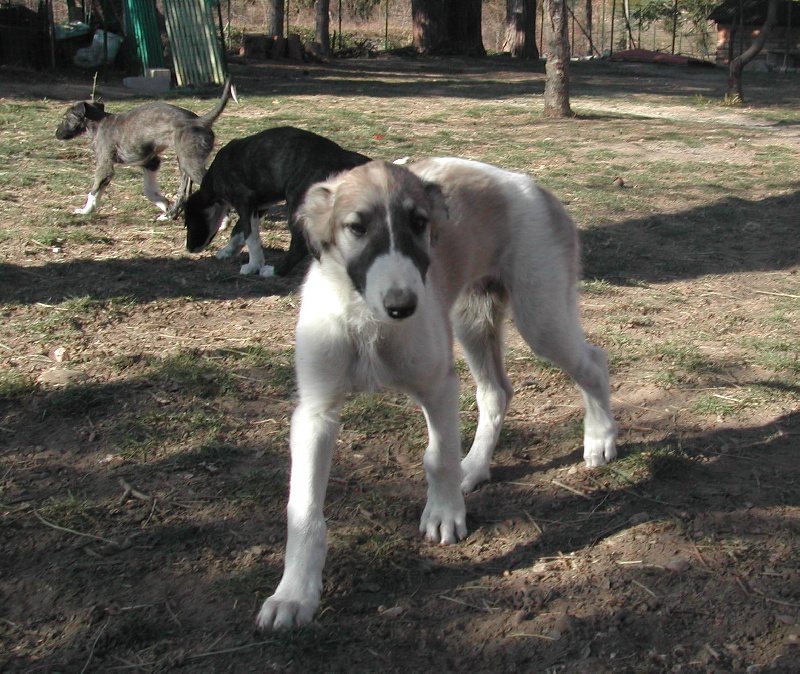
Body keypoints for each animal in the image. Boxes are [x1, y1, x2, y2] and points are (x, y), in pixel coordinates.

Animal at [56, 78, 234, 220]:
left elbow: (93, 191)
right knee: (184, 192)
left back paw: (224, 221)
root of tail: (200, 121)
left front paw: (85, 211)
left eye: (65, 118)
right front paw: (163, 204)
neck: (98, 123)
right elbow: (149, 190)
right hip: (186, 163)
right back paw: (170, 215)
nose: (56, 134)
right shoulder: (150, 161)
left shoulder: (105, 166)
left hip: (191, 165)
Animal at [184, 126, 370, 277]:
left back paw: (275, 271)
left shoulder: (245, 200)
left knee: (300, 244)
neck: (214, 180)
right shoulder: (257, 206)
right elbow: (239, 230)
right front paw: (228, 251)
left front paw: (254, 265)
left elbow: (251, 236)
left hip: (296, 203)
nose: (189, 249)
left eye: (190, 223)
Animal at [255, 158, 618, 630]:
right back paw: (476, 467)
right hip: (473, 319)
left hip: (541, 318)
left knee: (593, 364)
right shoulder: (315, 413)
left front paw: (444, 514)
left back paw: (600, 438)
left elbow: (439, 457)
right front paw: (294, 593)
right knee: (496, 392)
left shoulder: (438, 386)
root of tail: (534, 186)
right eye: (357, 227)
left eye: (419, 223)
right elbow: (303, 511)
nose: (403, 305)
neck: (370, 325)